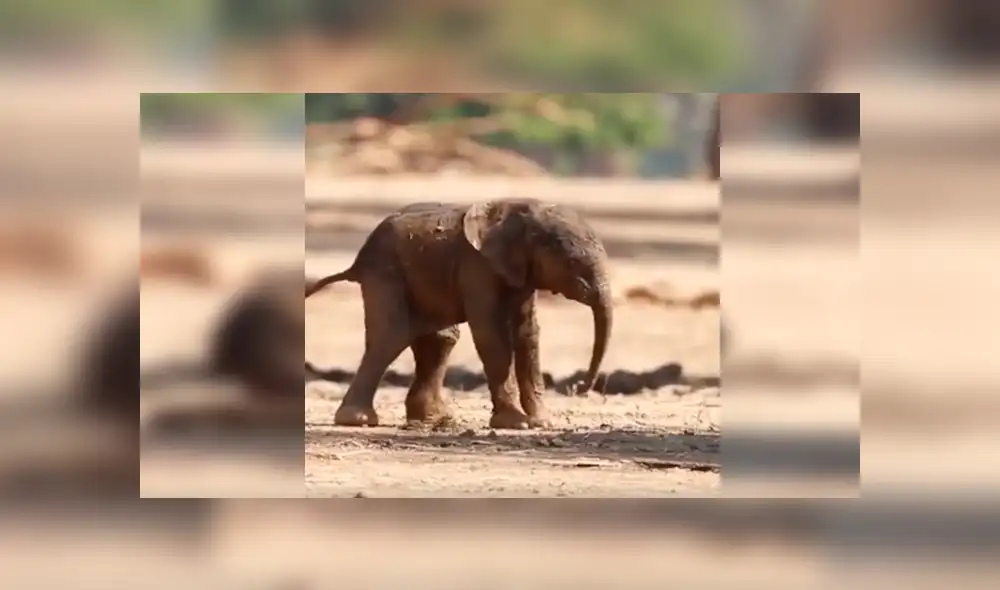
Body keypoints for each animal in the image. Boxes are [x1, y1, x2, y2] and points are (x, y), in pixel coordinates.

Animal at [306, 198, 613, 430]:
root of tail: (356, 261)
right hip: (383, 273)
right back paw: (359, 420)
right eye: (572, 263)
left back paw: (434, 420)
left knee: (440, 339)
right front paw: (516, 424)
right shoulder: (477, 267)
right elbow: (490, 333)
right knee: (392, 336)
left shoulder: (521, 273)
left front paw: (542, 423)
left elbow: (527, 334)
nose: (581, 388)